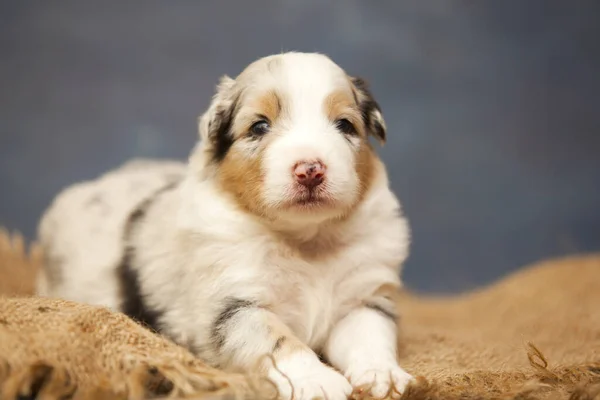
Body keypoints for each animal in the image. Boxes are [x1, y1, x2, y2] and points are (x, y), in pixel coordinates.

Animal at [35, 53, 414, 400]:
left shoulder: (363, 297)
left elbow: (370, 336)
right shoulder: (230, 307)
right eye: (259, 126)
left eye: (345, 125)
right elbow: (278, 340)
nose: (310, 169)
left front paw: (383, 375)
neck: (306, 239)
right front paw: (318, 381)